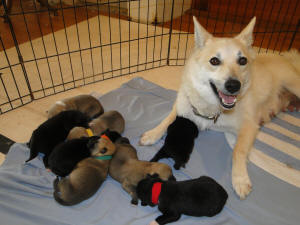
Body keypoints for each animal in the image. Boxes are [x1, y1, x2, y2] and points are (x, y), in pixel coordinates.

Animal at [141, 16, 300, 199]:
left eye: (242, 61)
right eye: (214, 61)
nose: (234, 85)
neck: (211, 108)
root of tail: (287, 58)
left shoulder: (249, 127)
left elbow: (238, 150)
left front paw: (240, 179)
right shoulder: (182, 107)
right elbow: (167, 119)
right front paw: (152, 134)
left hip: (294, 85)